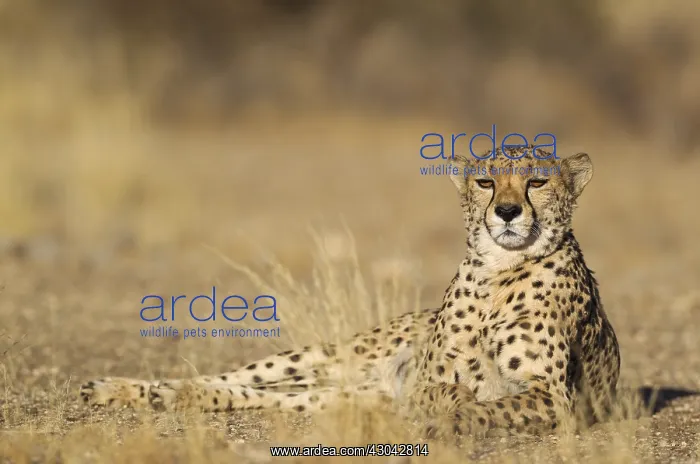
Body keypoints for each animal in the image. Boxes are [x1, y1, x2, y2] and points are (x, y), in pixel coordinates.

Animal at [80, 147, 620, 440]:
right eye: (486, 181)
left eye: (538, 181)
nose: (507, 212)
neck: (499, 272)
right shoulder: (429, 378)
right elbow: (445, 390)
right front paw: (446, 403)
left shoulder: (555, 397)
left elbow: (488, 404)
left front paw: (451, 415)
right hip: (328, 354)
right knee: (230, 377)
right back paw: (123, 388)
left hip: (335, 394)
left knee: (258, 396)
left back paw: (165, 396)